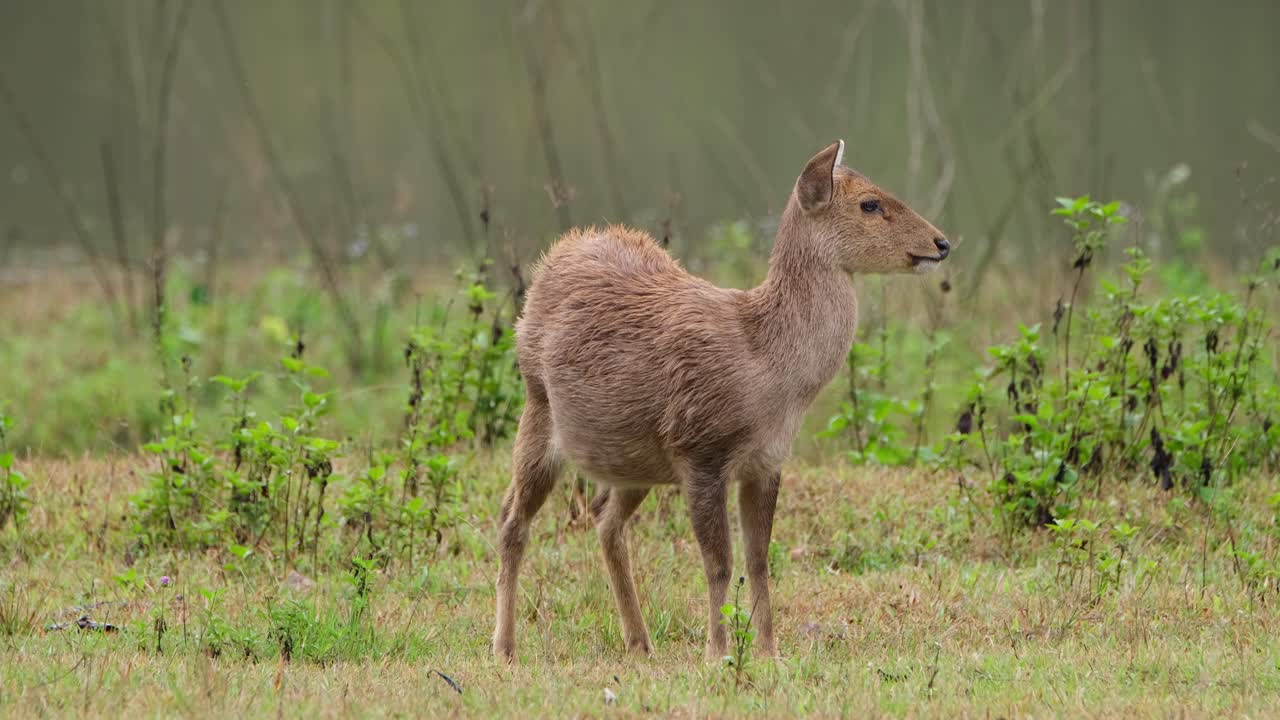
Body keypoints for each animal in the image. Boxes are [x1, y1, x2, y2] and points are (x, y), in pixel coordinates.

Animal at [493, 140, 949, 662]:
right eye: (870, 203)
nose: (941, 243)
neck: (767, 369)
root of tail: (558, 253)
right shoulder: (702, 451)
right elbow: (720, 563)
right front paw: (718, 652)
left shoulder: (766, 462)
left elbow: (760, 559)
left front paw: (769, 651)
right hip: (538, 405)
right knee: (511, 520)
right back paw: (505, 647)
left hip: (634, 458)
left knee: (606, 524)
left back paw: (640, 642)